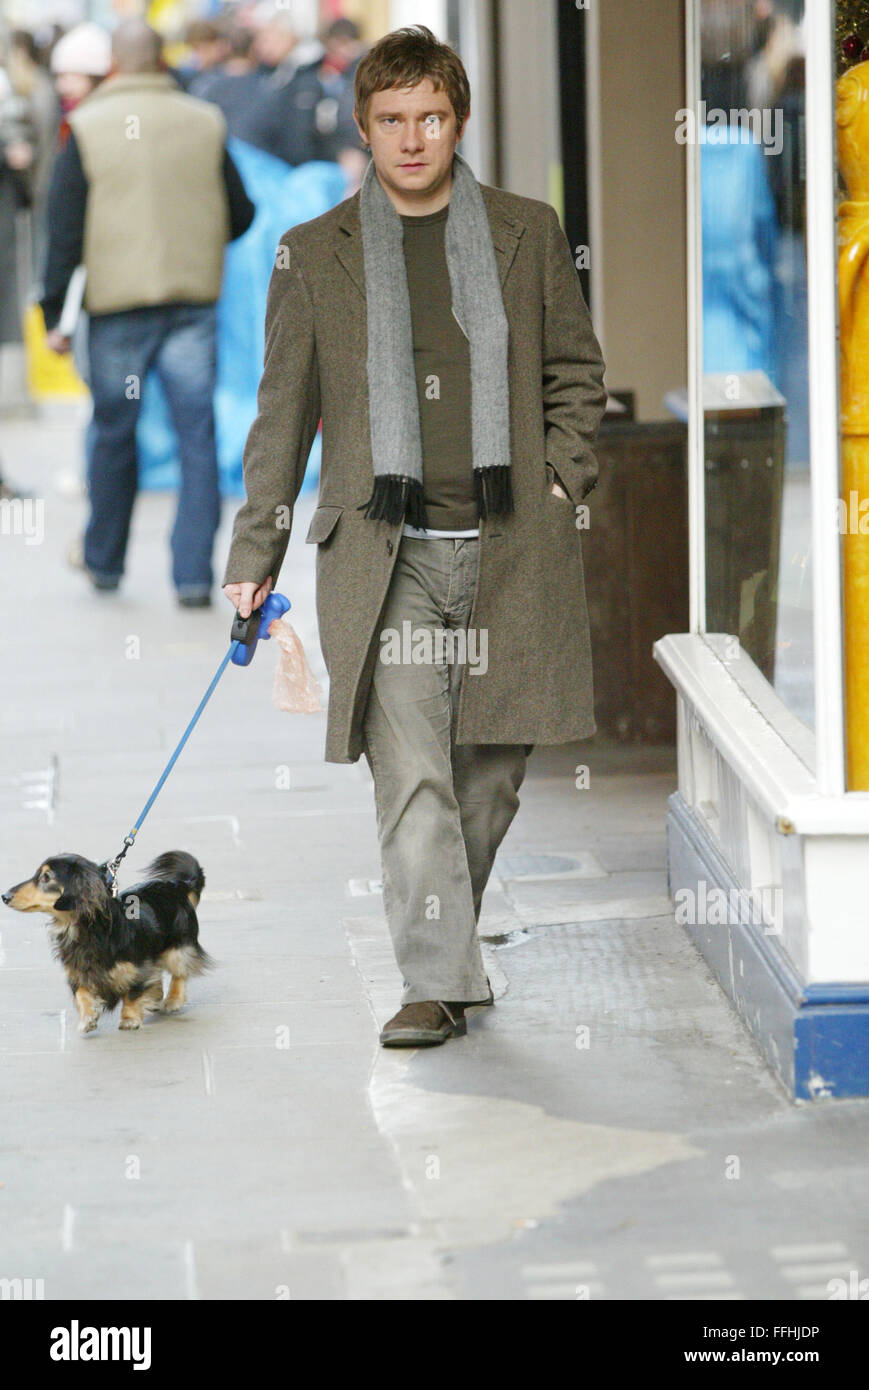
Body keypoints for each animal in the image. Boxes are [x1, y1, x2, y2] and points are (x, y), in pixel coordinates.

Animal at [2, 845, 212, 1034]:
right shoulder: (79, 970)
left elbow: (133, 992)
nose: (4, 896)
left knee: (180, 970)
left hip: (179, 946)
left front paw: (129, 1019)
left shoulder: (139, 966)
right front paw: (88, 1018)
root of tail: (177, 885)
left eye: (46, 877)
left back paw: (173, 999)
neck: (85, 927)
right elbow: (82, 993)